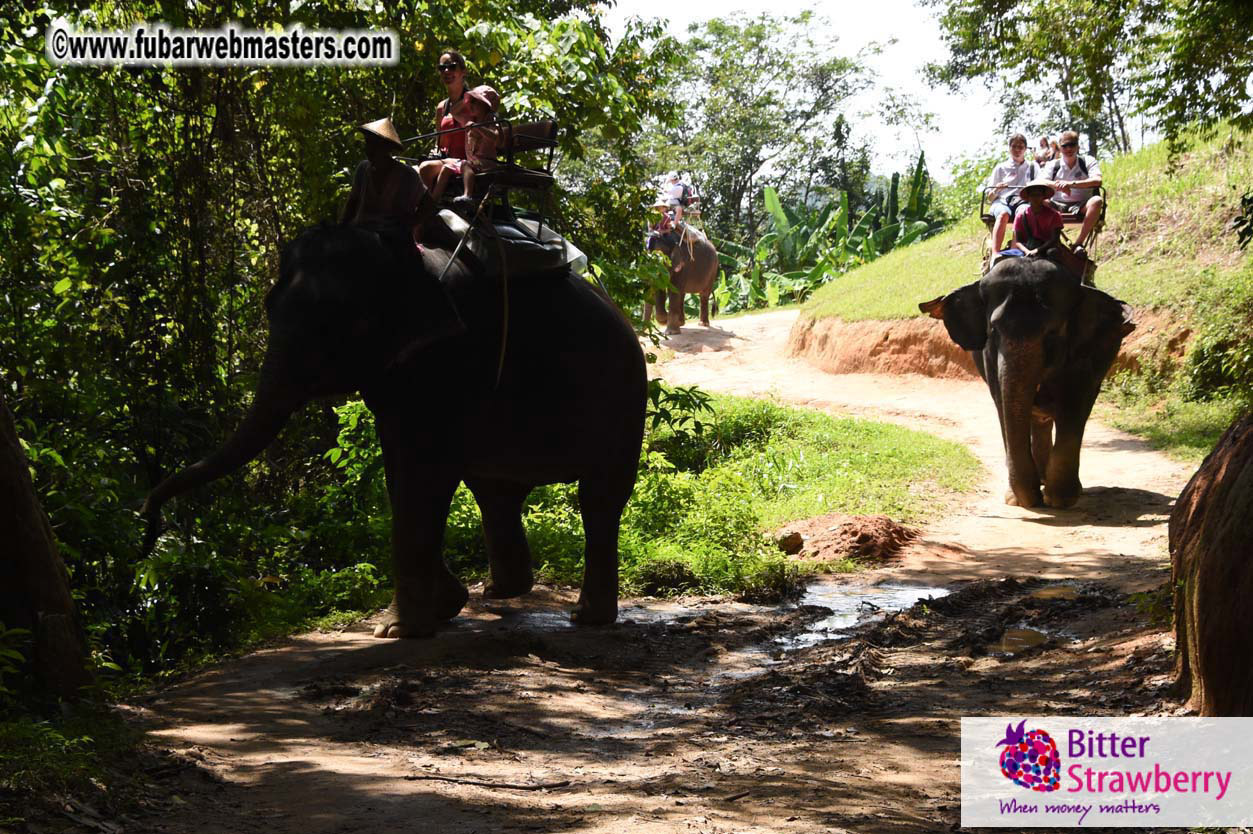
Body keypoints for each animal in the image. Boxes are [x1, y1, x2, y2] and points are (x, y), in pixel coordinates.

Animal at [142, 223, 648, 637]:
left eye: (343, 324)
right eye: (268, 307)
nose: (147, 530)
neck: (404, 258)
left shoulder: (446, 359)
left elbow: (421, 474)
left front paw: (397, 629)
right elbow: (405, 473)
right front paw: (444, 606)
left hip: (621, 400)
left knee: (597, 499)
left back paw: (584, 616)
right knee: (495, 491)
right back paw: (499, 593)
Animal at [919, 256, 1134, 509]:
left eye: (1053, 332)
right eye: (994, 330)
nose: (1032, 501)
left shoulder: (1086, 352)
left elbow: (1074, 404)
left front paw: (1060, 499)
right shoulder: (989, 360)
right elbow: (1003, 405)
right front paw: (1017, 500)